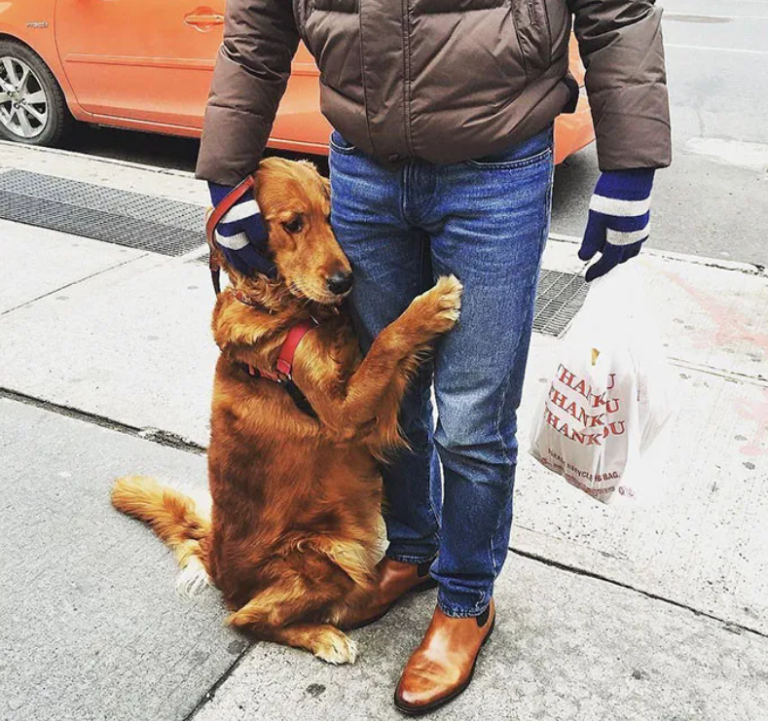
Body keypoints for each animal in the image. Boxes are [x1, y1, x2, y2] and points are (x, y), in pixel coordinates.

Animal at [112, 156, 462, 664]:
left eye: (332, 218)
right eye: (293, 224)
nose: (344, 281)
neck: (294, 312)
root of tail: (216, 559)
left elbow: (376, 348)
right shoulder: (341, 413)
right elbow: (386, 343)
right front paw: (430, 307)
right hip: (327, 551)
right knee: (248, 619)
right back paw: (325, 635)